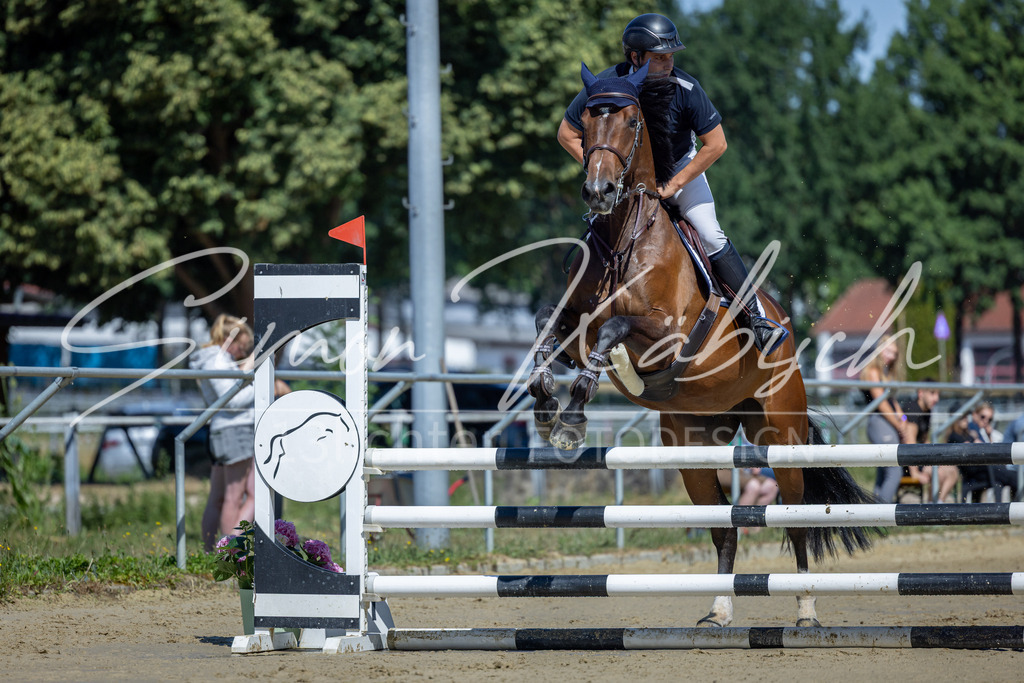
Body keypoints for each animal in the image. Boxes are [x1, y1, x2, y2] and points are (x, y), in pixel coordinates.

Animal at [527, 63, 876, 627]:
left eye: (631, 120)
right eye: (587, 118)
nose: (599, 192)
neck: (626, 236)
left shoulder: (664, 336)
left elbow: (614, 331)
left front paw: (574, 414)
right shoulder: (575, 324)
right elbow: (547, 325)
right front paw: (544, 402)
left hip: (782, 436)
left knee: (796, 520)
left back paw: (805, 609)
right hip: (693, 448)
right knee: (723, 526)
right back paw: (719, 610)